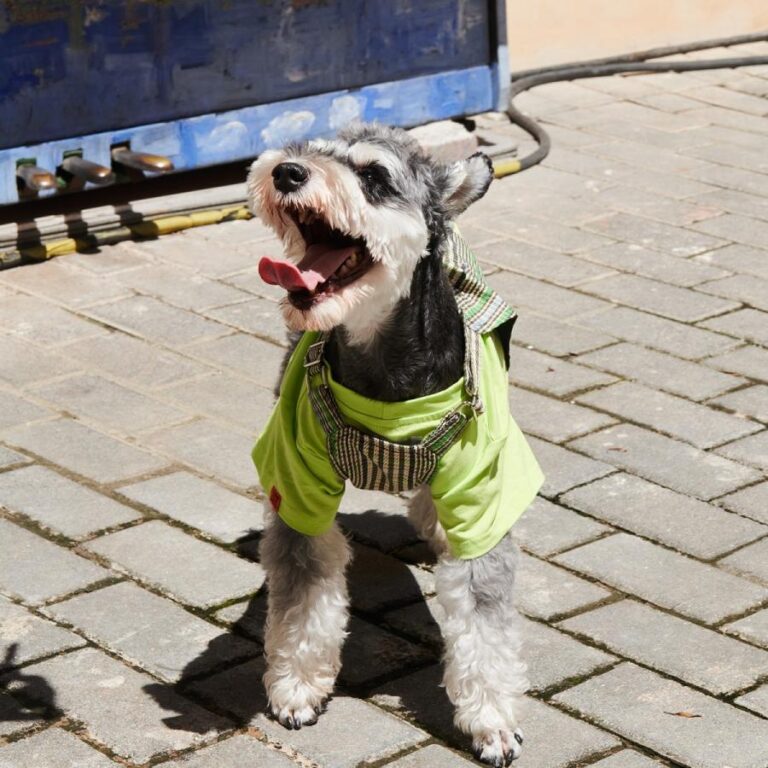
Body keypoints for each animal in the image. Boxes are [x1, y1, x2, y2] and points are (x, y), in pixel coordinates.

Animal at [244, 123, 540, 764]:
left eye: (375, 177)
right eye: (310, 148)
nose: (286, 172)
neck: (384, 367)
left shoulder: (483, 497)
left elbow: (484, 623)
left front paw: (491, 719)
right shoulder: (296, 486)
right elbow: (304, 597)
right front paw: (298, 687)